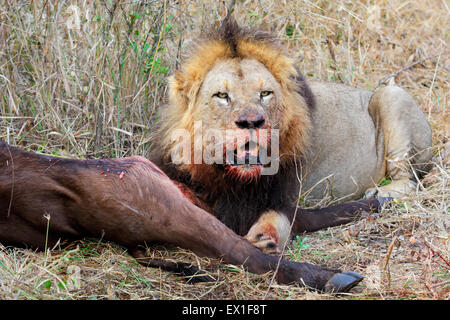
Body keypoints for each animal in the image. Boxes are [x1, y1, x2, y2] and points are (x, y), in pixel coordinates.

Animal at [151, 18, 432, 255]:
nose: (251, 121)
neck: (228, 177)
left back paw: (381, 193)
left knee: (410, 180)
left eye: (265, 93)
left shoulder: (283, 197)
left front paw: (263, 239)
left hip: (392, 95)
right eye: (222, 95)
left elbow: (279, 220)